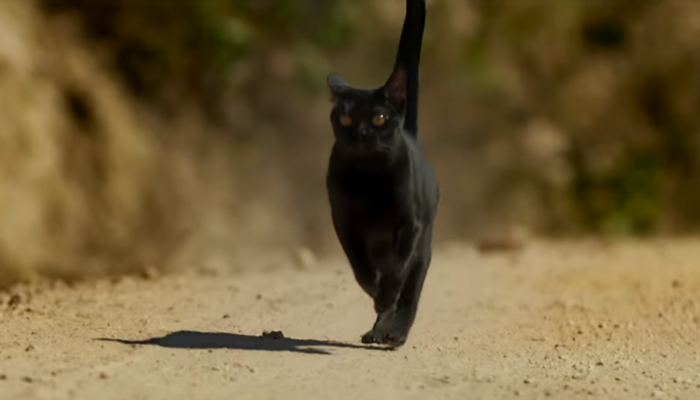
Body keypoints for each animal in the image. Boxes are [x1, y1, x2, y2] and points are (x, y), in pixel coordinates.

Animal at [324, 0, 438, 346]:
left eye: (379, 118)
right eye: (345, 119)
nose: (361, 133)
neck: (368, 179)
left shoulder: (409, 224)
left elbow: (397, 271)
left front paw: (386, 298)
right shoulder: (345, 224)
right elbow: (360, 267)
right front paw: (376, 294)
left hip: (423, 246)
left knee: (410, 291)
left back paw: (395, 333)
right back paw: (377, 330)